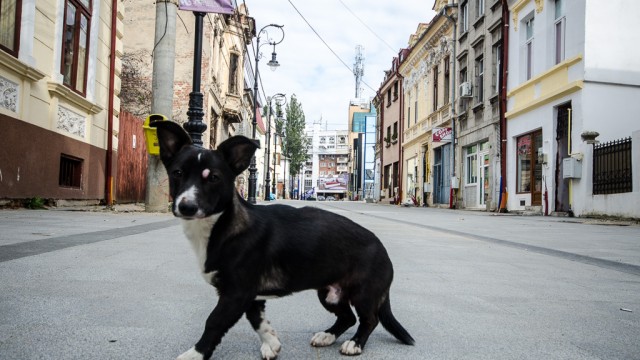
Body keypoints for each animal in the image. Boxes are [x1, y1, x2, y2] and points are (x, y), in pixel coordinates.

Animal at [152, 121, 418, 360]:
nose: (186, 206)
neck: (221, 224)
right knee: (347, 317)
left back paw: (355, 344)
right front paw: (271, 343)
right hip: (329, 293)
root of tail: (382, 248)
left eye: (214, 178)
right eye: (177, 173)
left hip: (364, 293)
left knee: (369, 319)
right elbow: (257, 320)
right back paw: (327, 335)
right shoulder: (249, 296)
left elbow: (214, 322)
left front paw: (196, 354)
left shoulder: (236, 293)